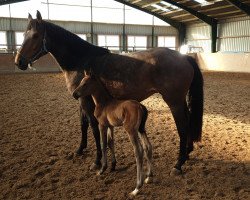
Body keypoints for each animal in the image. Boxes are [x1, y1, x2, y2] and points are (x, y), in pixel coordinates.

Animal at [14, 10, 204, 175]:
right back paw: (187, 154)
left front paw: (97, 161)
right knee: (188, 122)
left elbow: (93, 127)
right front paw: (80, 149)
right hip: (179, 101)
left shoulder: (86, 101)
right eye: (23, 35)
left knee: (182, 127)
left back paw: (178, 164)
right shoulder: (80, 100)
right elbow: (82, 125)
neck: (81, 60)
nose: (18, 62)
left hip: (174, 101)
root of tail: (184, 57)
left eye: (35, 36)